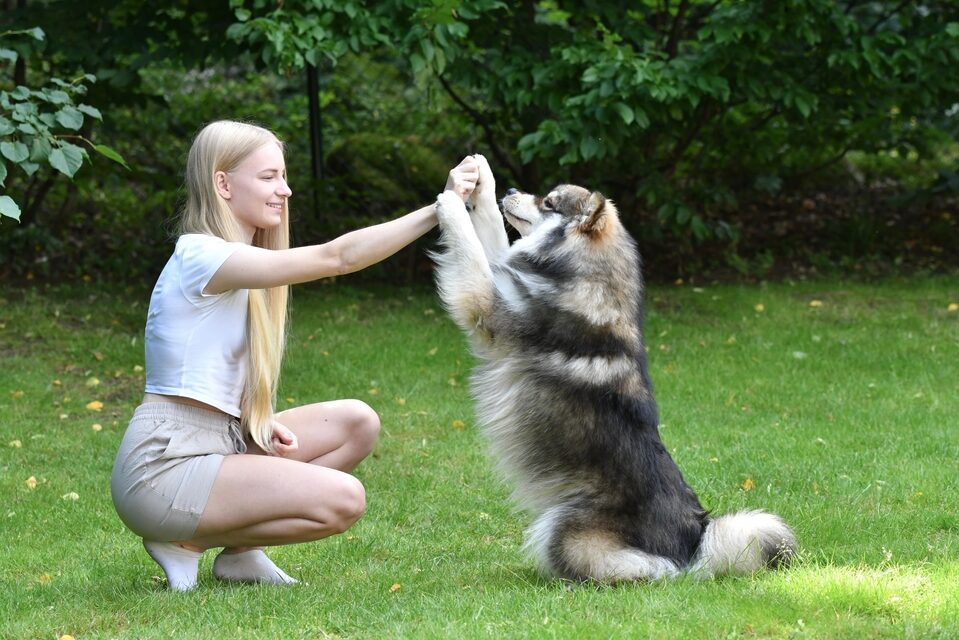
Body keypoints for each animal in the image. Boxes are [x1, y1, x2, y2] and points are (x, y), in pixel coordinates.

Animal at [432, 154, 800, 580]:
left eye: (549, 202)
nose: (510, 189)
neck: (586, 278)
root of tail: (695, 543)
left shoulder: (487, 306)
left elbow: (472, 253)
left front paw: (451, 203)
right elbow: (489, 234)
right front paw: (480, 182)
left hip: (562, 527)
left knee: (653, 570)